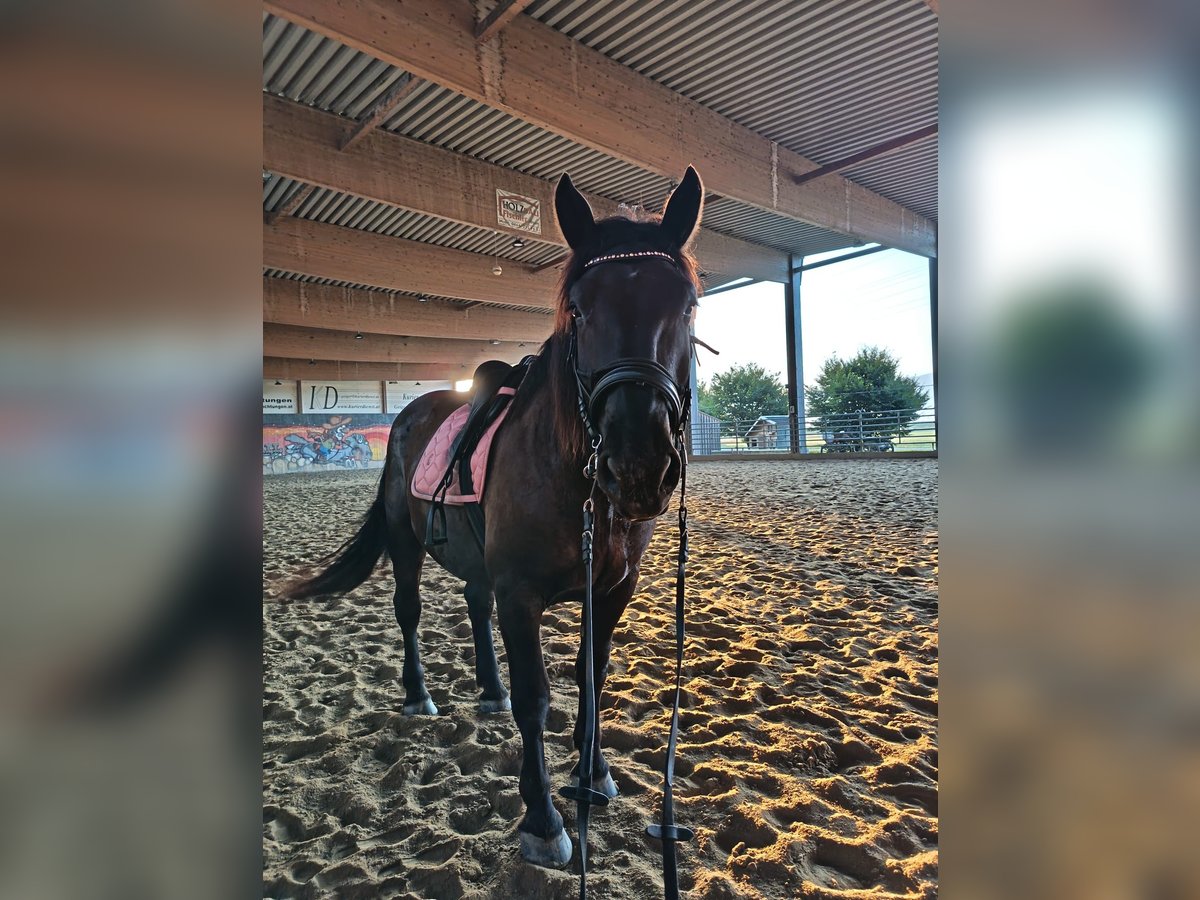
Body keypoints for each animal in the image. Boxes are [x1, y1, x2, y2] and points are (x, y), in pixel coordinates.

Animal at [287, 167, 704, 880]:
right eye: (579, 310)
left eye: (686, 307)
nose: (638, 465)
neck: (575, 480)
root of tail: (411, 412)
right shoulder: (521, 593)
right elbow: (537, 697)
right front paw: (544, 822)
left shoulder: (612, 591)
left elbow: (592, 677)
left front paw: (594, 774)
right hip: (408, 545)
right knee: (409, 612)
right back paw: (420, 696)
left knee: (472, 603)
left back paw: (488, 690)